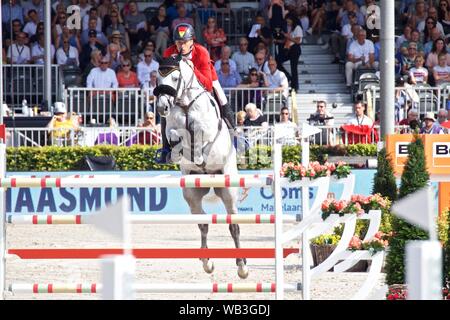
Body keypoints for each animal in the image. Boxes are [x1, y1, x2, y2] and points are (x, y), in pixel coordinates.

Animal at [153, 56, 248, 278]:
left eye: (175, 77)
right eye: (158, 78)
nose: (162, 108)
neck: (185, 105)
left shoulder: (206, 128)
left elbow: (198, 131)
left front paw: (196, 152)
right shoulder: (172, 127)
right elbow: (175, 134)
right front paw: (180, 150)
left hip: (228, 189)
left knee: (234, 225)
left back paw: (242, 266)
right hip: (192, 192)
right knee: (203, 222)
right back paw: (207, 262)